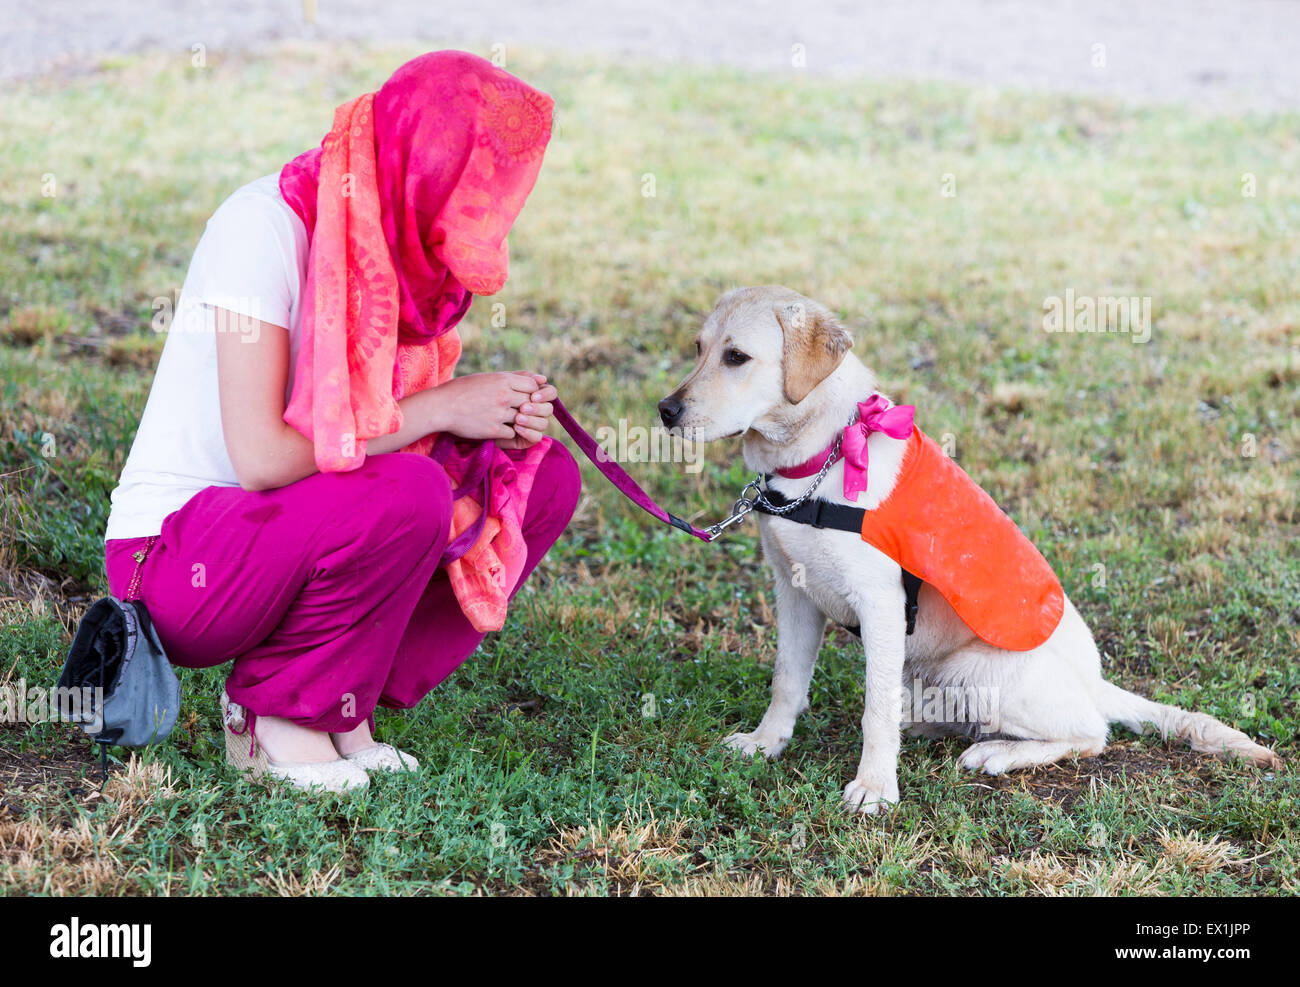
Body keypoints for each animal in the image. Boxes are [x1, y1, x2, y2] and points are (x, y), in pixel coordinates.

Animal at [660, 283, 1279, 811]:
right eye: (699, 348)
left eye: (737, 357)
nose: (665, 411)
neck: (822, 459)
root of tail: (1096, 683)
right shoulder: (793, 593)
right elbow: (787, 681)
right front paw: (766, 742)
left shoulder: (880, 604)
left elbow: (873, 711)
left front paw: (875, 786)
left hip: (977, 672)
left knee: (1090, 732)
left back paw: (998, 752)